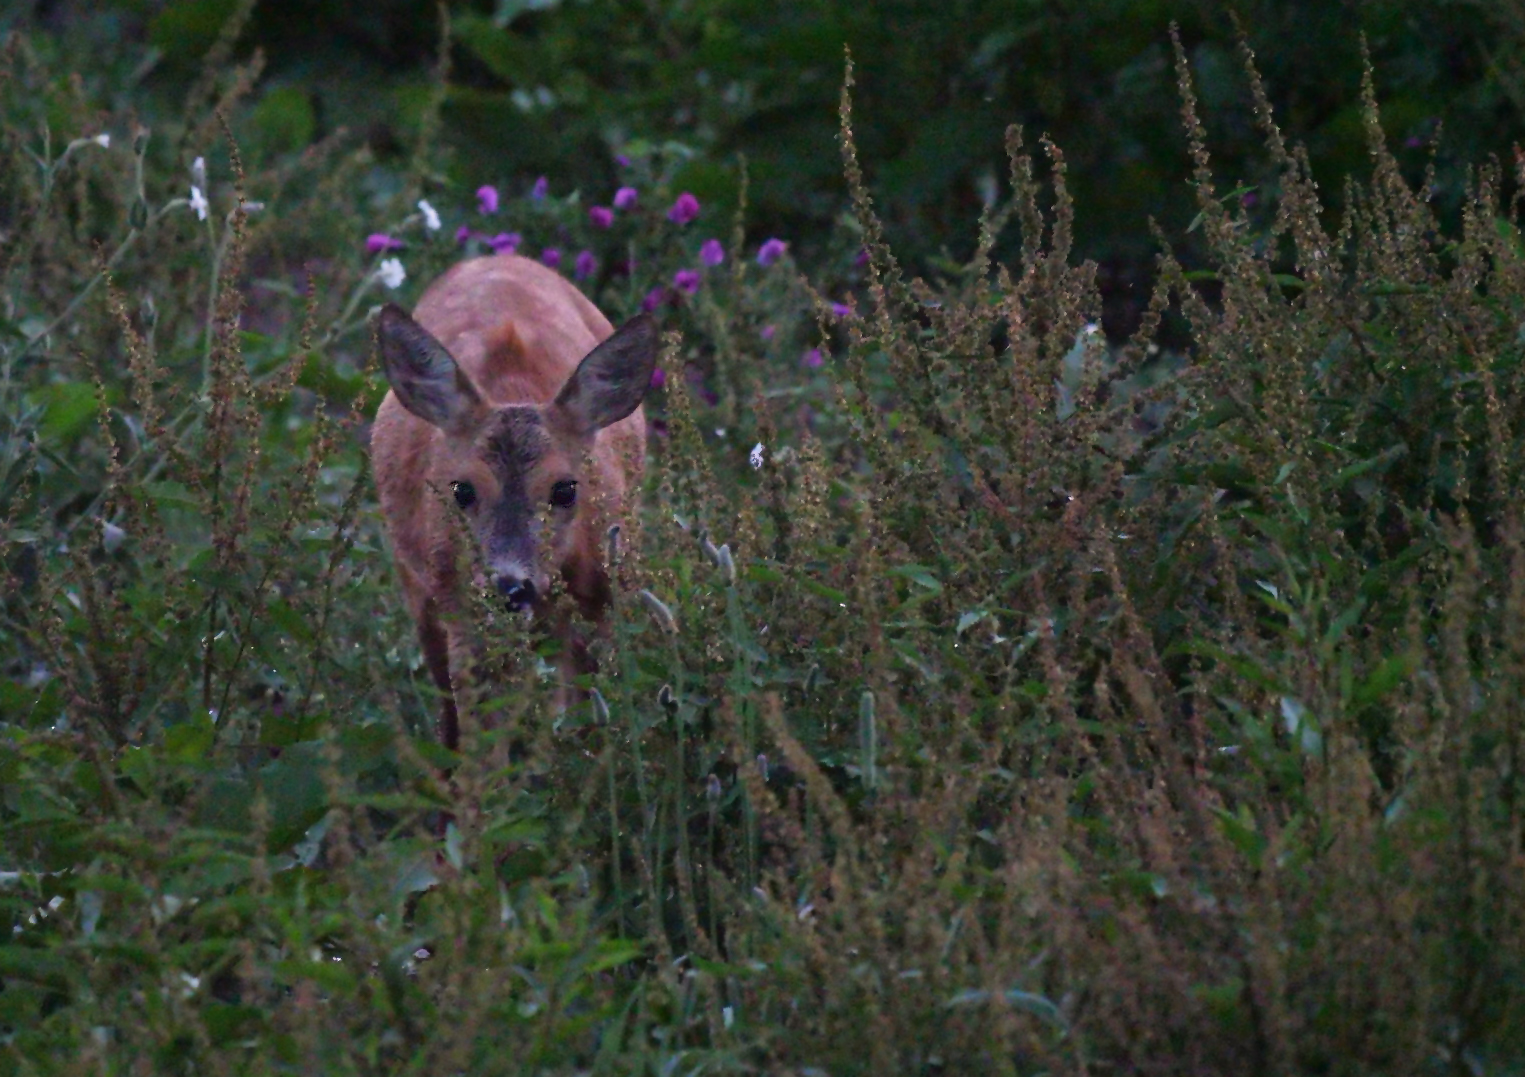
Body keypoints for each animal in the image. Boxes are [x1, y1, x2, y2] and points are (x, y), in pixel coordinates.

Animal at [372, 251, 658, 747]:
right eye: (461, 489)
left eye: (565, 488)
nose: (509, 586)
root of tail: (496, 256)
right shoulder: (461, 605)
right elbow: (481, 729)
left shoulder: (606, 595)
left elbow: (591, 707)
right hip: (418, 584)